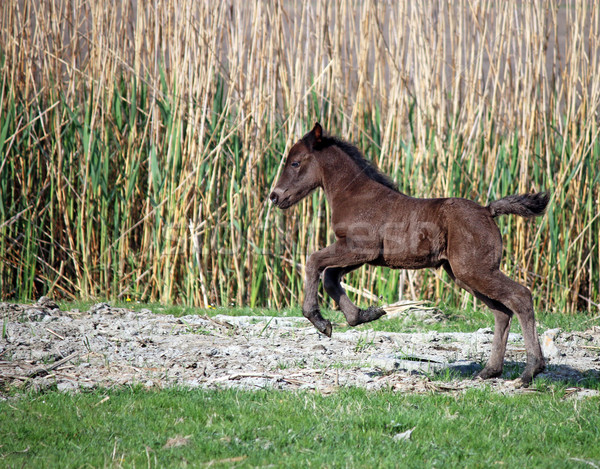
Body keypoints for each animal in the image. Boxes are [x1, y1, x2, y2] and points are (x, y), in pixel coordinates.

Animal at [270, 121, 548, 384]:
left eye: (295, 162)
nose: (274, 196)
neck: (355, 195)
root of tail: (488, 211)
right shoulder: (362, 255)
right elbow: (329, 276)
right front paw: (363, 315)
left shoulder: (358, 248)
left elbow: (313, 261)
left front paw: (319, 320)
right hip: (463, 275)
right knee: (501, 312)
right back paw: (489, 371)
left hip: (475, 270)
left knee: (520, 296)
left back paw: (530, 371)